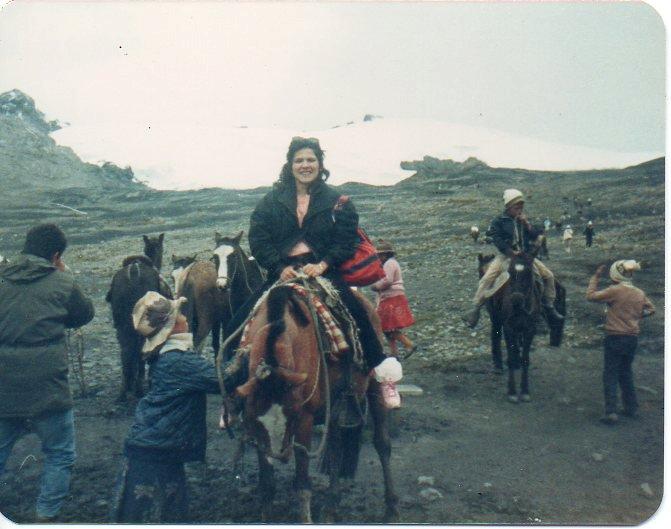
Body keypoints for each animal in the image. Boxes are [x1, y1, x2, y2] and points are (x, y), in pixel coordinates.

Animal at [106, 232, 172, 400]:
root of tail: (134, 273)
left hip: (121, 323)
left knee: (125, 351)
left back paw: (125, 390)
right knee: (139, 349)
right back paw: (138, 388)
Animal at [220, 278, 400, 520]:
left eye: (293, 416)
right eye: (256, 421)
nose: (278, 455)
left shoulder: (304, 419)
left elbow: (303, 484)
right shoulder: (254, 425)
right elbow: (267, 483)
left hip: (375, 386)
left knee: (382, 443)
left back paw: (392, 508)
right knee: (335, 447)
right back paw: (332, 507)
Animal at [478, 252, 568, 400]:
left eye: (528, 273)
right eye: (509, 272)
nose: (516, 299)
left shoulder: (529, 329)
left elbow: (525, 357)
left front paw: (525, 390)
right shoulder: (508, 327)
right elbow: (509, 350)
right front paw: (512, 391)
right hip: (496, 318)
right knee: (496, 335)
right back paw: (499, 365)